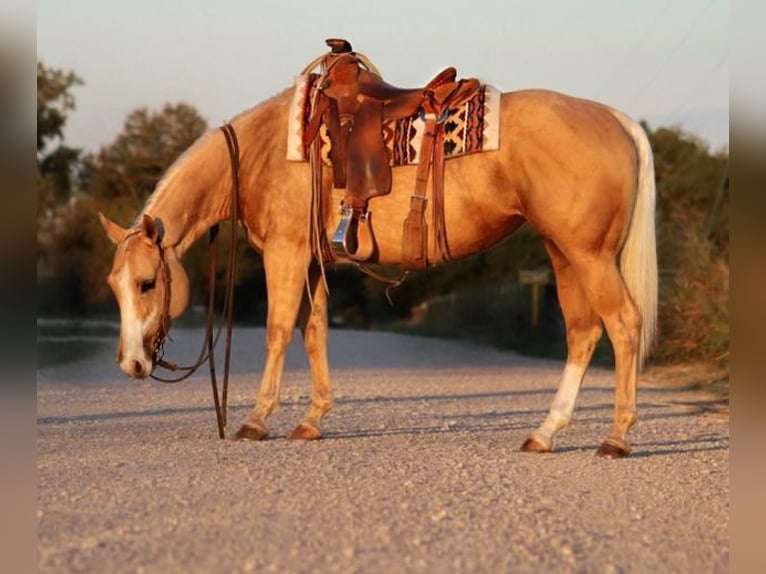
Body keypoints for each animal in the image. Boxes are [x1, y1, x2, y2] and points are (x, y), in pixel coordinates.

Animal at [99, 81, 656, 462]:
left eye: (147, 283)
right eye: (114, 286)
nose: (131, 365)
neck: (265, 151)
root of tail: (616, 119)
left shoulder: (286, 253)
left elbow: (279, 331)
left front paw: (256, 421)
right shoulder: (314, 262)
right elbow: (315, 333)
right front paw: (312, 421)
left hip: (589, 256)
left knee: (624, 325)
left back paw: (616, 437)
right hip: (564, 252)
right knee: (583, 331)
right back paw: (545, 432)